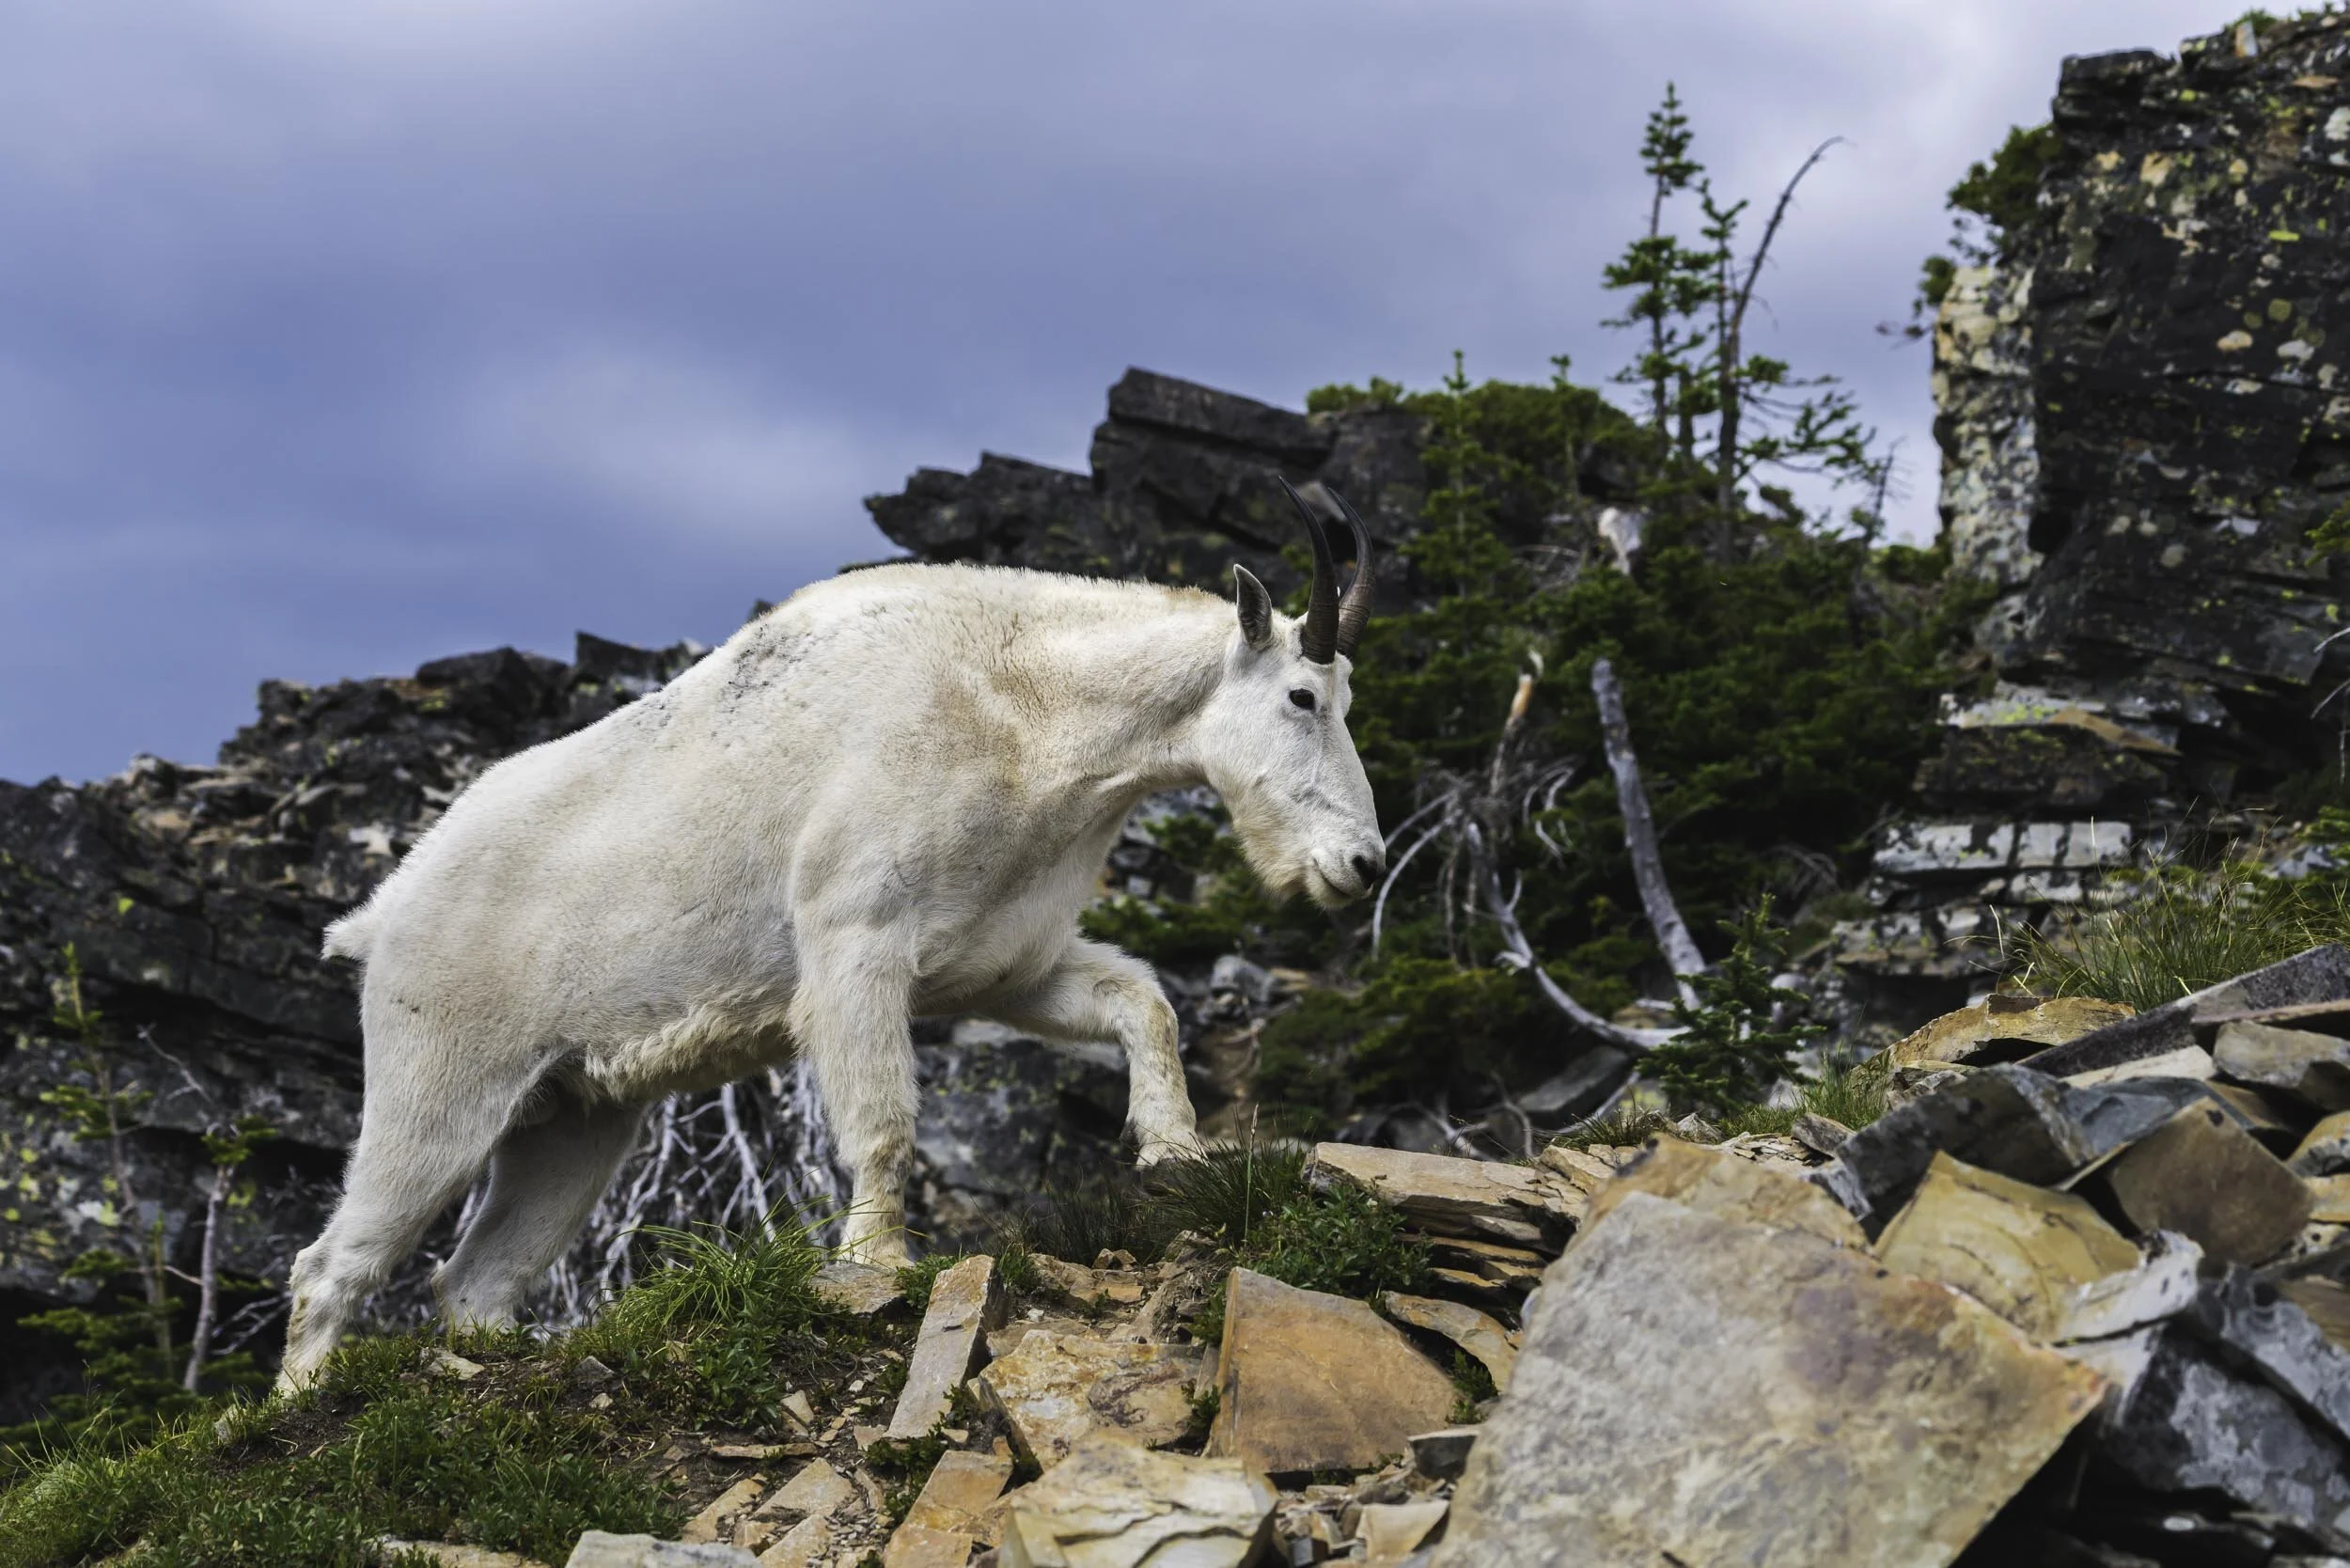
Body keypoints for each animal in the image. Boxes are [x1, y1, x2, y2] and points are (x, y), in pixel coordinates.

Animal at [278, 480, 1381, 1385]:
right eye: (1302, 696)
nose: (1362, 865)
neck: (1022, 705)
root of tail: (383, 915)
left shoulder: (1002, 967)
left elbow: (1141, 1002)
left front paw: (1171, 1154)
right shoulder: (858, 944)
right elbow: (884, 1118)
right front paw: (877, 1262)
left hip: (571, 1117)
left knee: (477, 1279)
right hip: (442, 1079)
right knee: (331, 1266)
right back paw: (296, 1406)